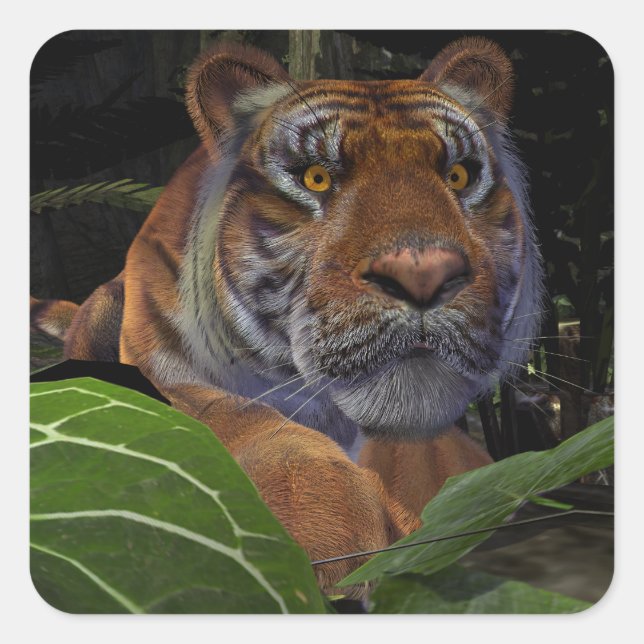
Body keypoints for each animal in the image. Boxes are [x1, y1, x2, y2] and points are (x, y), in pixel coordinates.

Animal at [31, 36, 544, 598]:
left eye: (458, 175)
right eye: (316, 178)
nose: (423, 274)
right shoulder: (165, 374)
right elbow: (236, 417)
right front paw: (323, 535)